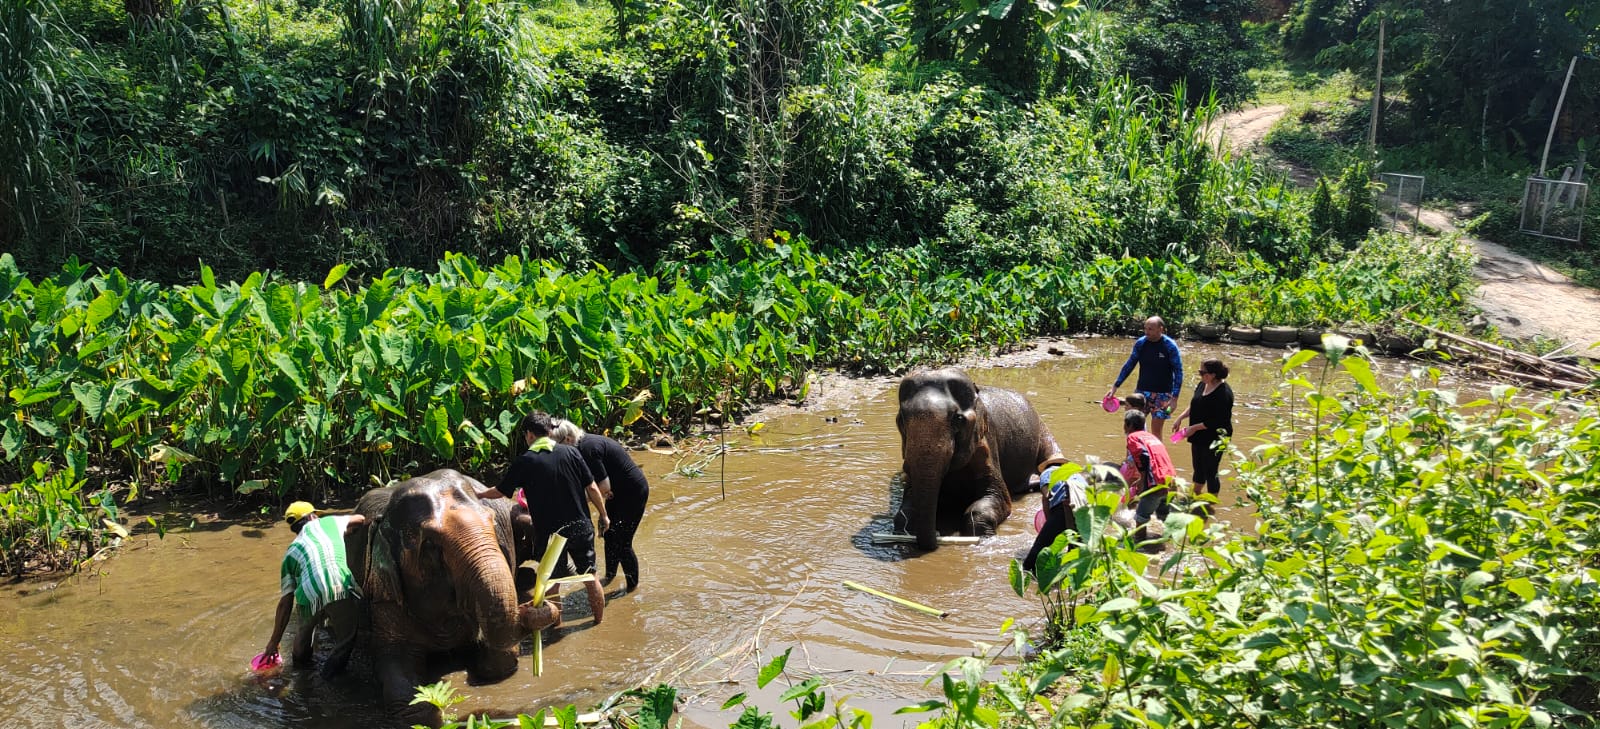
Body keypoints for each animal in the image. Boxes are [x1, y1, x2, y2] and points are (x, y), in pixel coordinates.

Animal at [340, 470, 560, 725]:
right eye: (430, 544)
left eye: (493, 522)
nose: (535, 606)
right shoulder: (384, 595)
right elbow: (393, 663)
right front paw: (428, 708)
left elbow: (502, 659)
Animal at [902, 367, 1062, 549]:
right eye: (900, 419)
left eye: (958, 419)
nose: (937, 535)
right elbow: (904, 510)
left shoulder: (986, 442)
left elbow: (998, 497)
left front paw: (983, 537)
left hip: (1043, 430)